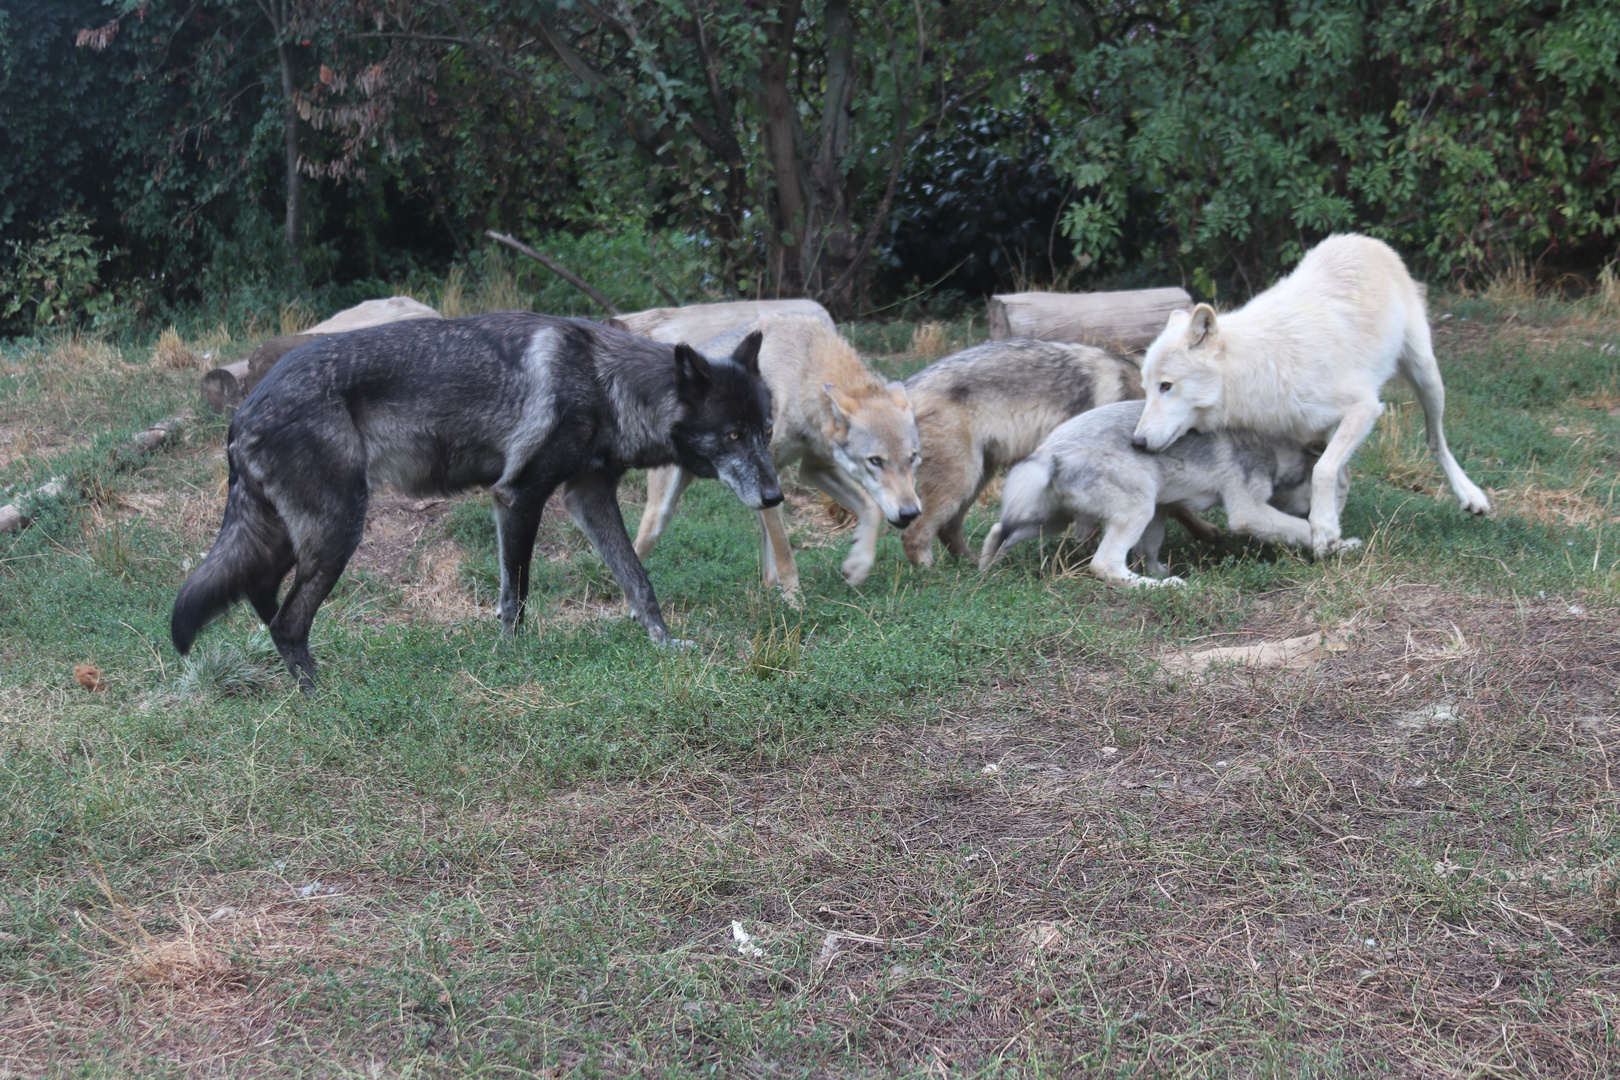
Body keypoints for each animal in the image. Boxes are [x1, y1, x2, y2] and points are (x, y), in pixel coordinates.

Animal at [174, 312, 780, 683]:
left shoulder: (588, 499)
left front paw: (665, 644)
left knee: (261, 594)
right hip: (339, 528)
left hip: (291, 538)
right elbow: (517, 596)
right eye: (732, 435)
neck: (604, 381)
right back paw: (321, 698)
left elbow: (638, 580)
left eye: (766, 430)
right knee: (287, 621)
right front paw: (511, 659)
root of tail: (244, 409)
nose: (775, 496)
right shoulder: (518, 497)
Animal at [631, 312, 920, 599]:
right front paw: (795, 602)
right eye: (875, 461)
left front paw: (858, 565)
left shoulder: (813, 469)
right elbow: (785, 554)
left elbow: (871, 507)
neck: (803, 369)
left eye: (913, 458)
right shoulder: (774, 476)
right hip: (660, 516)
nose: (911, 513)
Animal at [978, 401, 1321, 586]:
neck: (1275, 449)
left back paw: (986, 572)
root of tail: (1049, 451)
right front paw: (1330, 542)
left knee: (997, 532)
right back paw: (1161, 587)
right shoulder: (1246, 512)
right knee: (1105, 565)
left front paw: (1156, 569)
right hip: (1136, 507)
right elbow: (1301, 528)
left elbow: (1149, 548)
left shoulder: (1162, 507)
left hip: (1054, 520)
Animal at [1127, 238, 1490, 557]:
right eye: (1146, 388)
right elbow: (1329, 478)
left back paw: (1470, 495)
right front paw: (1325, 530)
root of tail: (1364, 239)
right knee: (1350, 473)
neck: (1261, 367)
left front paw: (1325, 528)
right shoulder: (1306, 433)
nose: (1138, 442)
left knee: (1435, 439)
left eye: (1166, 386)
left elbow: (1324, 471)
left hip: (1427, 377)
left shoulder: (1363, 407)